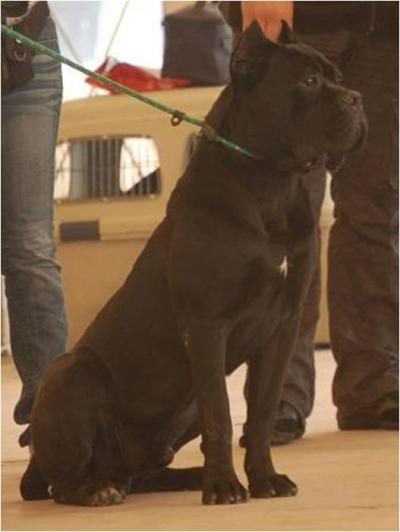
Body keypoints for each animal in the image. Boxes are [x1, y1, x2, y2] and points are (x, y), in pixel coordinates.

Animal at [20, 21, 367, 506]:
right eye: (310, 81)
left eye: (338, 76)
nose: (356, 99)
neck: (270, 183)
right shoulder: (206, 325)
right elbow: (220, 413)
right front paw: (223, 487)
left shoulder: (282, 326)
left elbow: (260, 412)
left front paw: (264, 479)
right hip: (71, 374)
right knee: (62, 481)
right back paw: (98, 490)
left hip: (175, 415)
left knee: (142, 471)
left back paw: (182, 476)